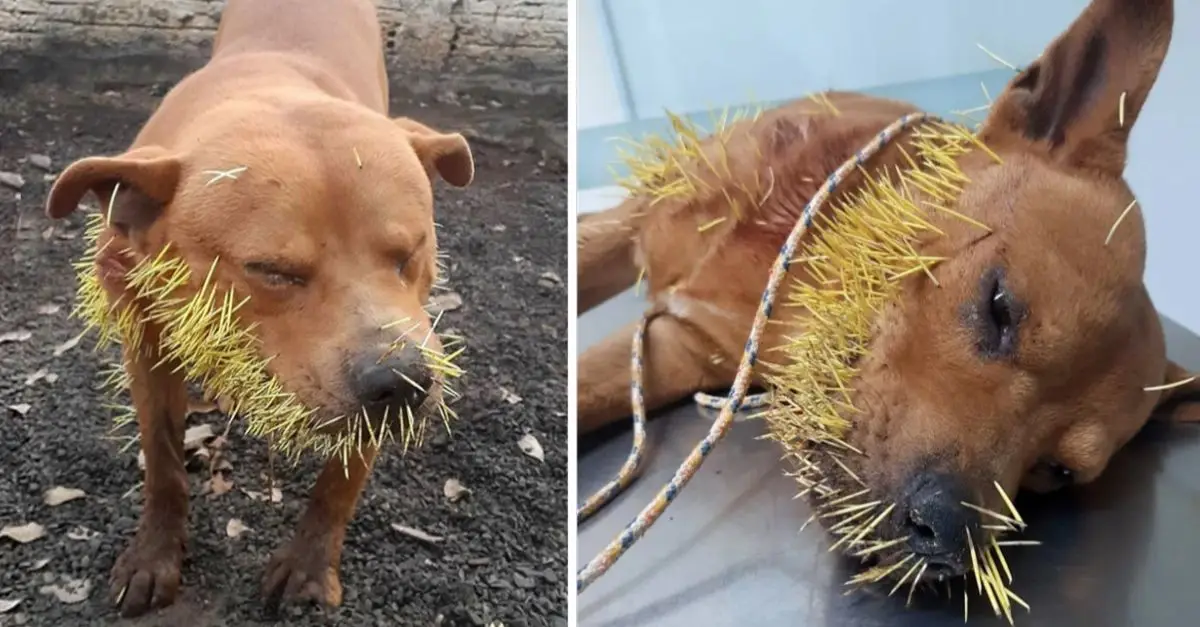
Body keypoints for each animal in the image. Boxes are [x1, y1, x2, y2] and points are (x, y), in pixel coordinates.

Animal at [42, 0, 472, 614]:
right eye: (273, 271)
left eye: (410, 252)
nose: (402, 382)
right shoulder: (145, 340)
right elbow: (162, 457)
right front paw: (154, 555)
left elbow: (339, 482)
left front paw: (310, 565)